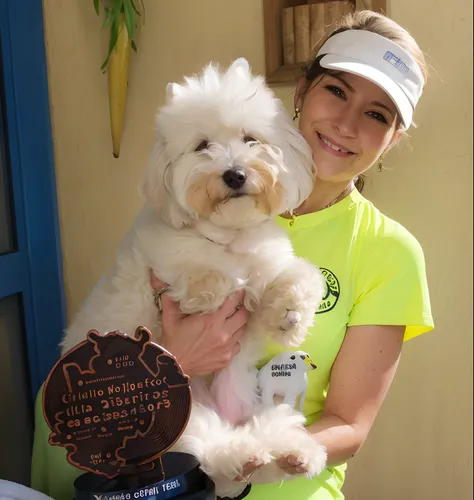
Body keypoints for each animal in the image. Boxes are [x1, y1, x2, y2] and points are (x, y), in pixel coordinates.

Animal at [61, 57, 328, 496]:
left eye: (251, 139)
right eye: (203, 146)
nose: (234, 174)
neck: (228, 236)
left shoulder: (268, 265)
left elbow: (296, 277)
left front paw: (290, 315)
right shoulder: (165, 262)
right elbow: (198, 269)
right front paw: (215, 288)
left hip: (249, 400)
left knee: (262, 435)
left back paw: (292, 453)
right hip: (177, 420)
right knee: (216, 451)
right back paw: (246, 458)